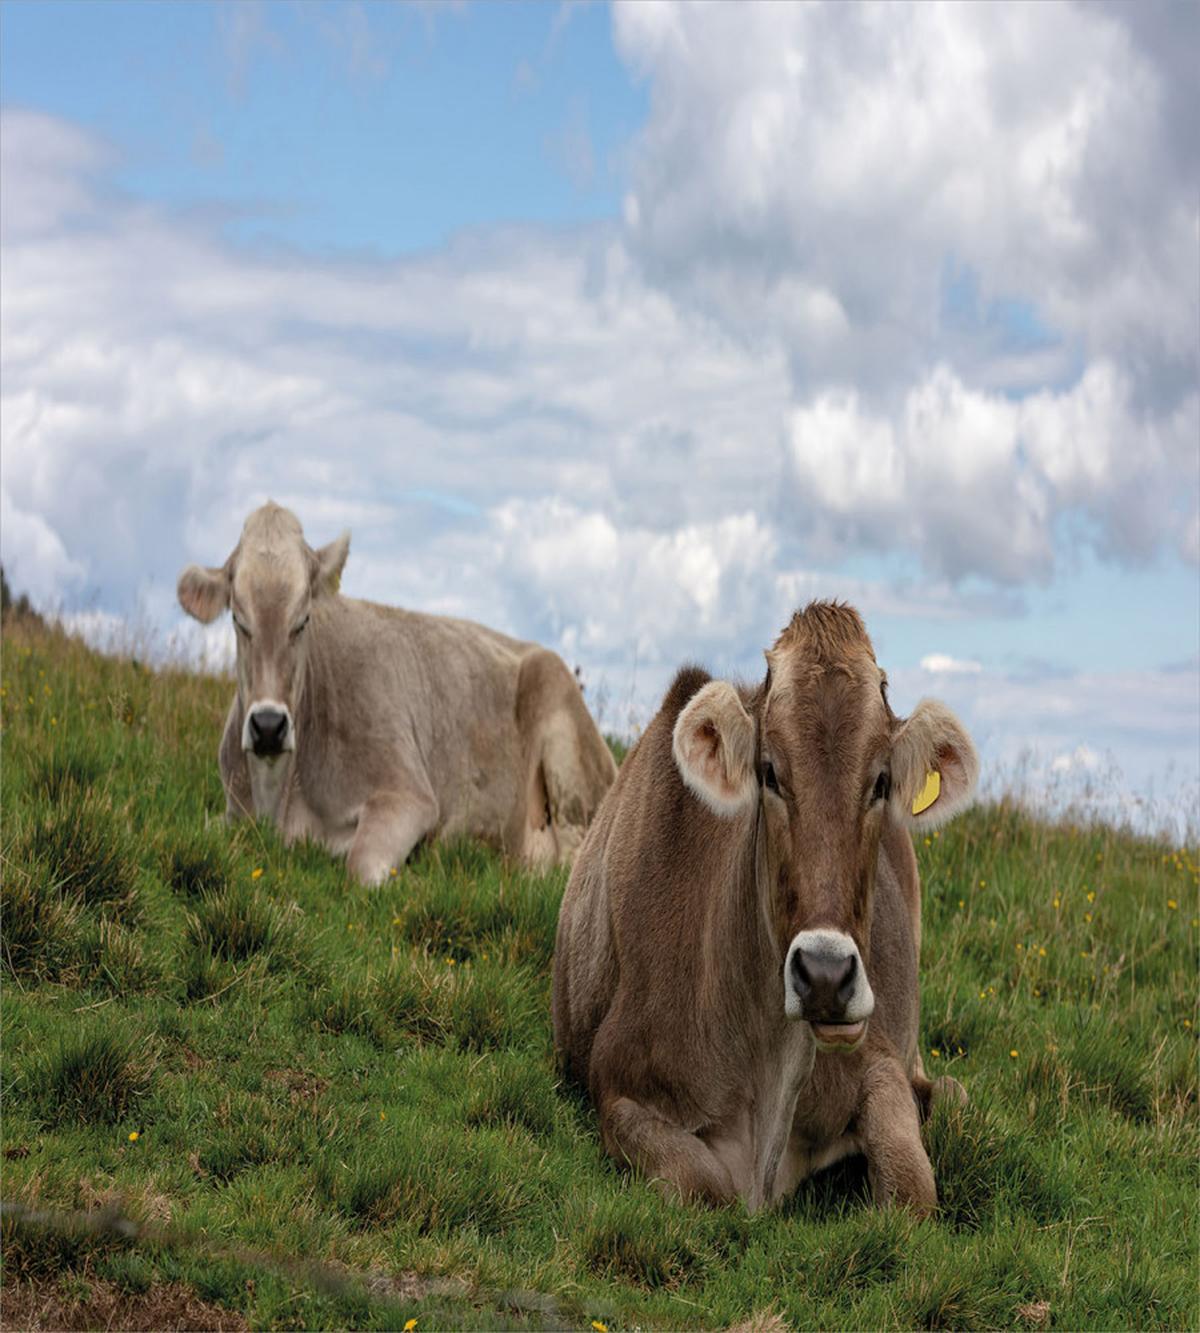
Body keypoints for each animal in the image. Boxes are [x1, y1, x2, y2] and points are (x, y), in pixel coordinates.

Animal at [177, 502, 616, 883]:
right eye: (238, 619)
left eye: (302, 620)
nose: (268, 726)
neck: (278, 796)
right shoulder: (230, 813)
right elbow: (206, 827)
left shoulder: (408, 793)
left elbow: (360, 864)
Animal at [552, 601, 977, 1215]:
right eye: (770, 772)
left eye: (880, 782)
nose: (824, 976)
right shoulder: (619, 1084)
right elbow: (703, 1184)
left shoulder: (877, 1056)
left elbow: (911, 1189)